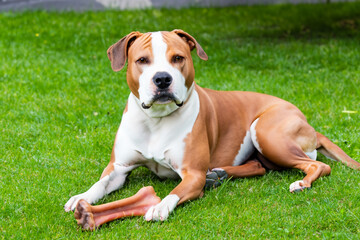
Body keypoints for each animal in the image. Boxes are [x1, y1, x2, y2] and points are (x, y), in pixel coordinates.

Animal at [64, 30, 360, 221]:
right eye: (142, 60)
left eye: (178, 58)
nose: (162, 79)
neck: (156, 120)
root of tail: (304, 120)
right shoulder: (118, 168)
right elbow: (99, 184)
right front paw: (80, 197)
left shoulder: (192, 174)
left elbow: (174, 192)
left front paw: (159, 207)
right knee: (258, 166)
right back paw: (219, 174)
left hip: (267, 133)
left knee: (319, 165)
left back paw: (301, 183)